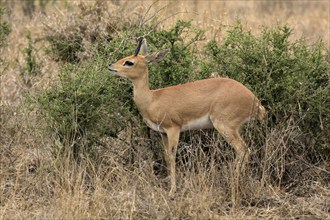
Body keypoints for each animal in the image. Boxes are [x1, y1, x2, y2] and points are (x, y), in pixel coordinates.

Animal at [109, 37, 264, 207]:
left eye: (129, 62)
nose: (110, 67)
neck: (152, 99)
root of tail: (255, 102)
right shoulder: (163, 133)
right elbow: (166, 157)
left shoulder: (173, 129)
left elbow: (172, 157)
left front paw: (172, 192)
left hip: (225, 127)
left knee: (244, 150)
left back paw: (234, 195)